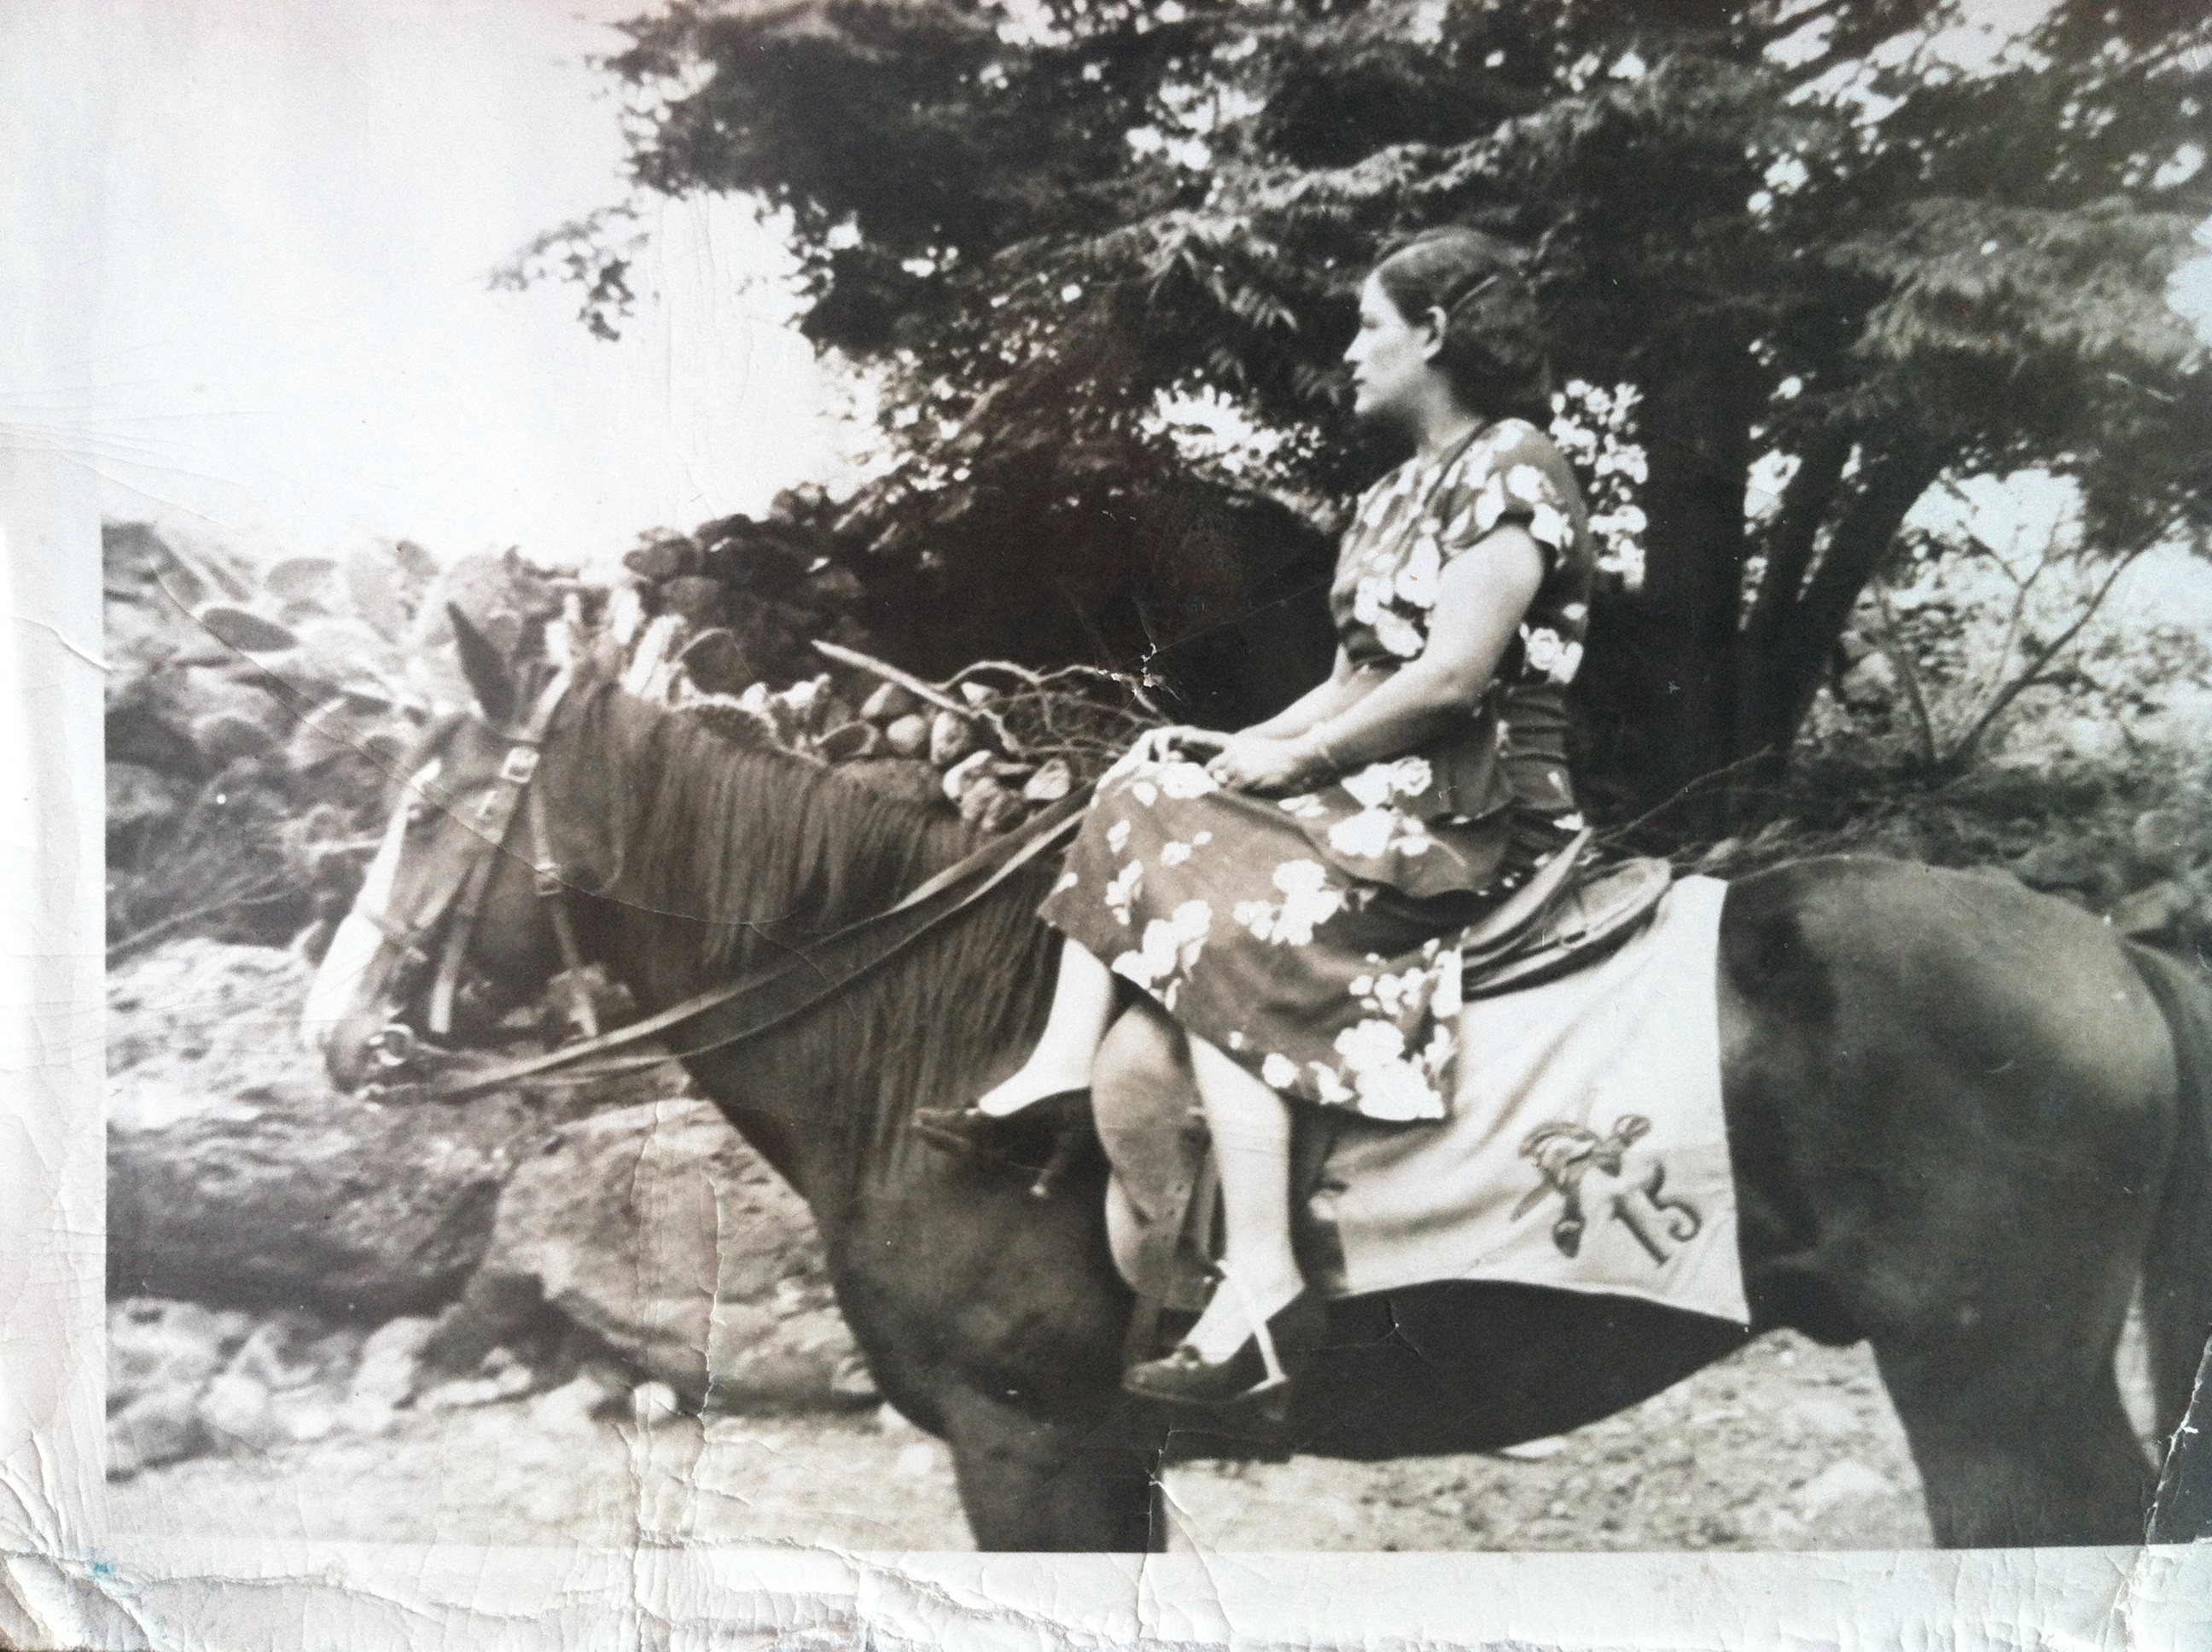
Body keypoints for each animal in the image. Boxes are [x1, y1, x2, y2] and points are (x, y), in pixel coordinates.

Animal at [311, 628, 2212, 1556]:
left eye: (421, 810)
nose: (329, 1026)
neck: (936, 1040)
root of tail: (2115, 953)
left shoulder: (1030, 1444)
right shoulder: (1106, 1456)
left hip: (1990, 1389)